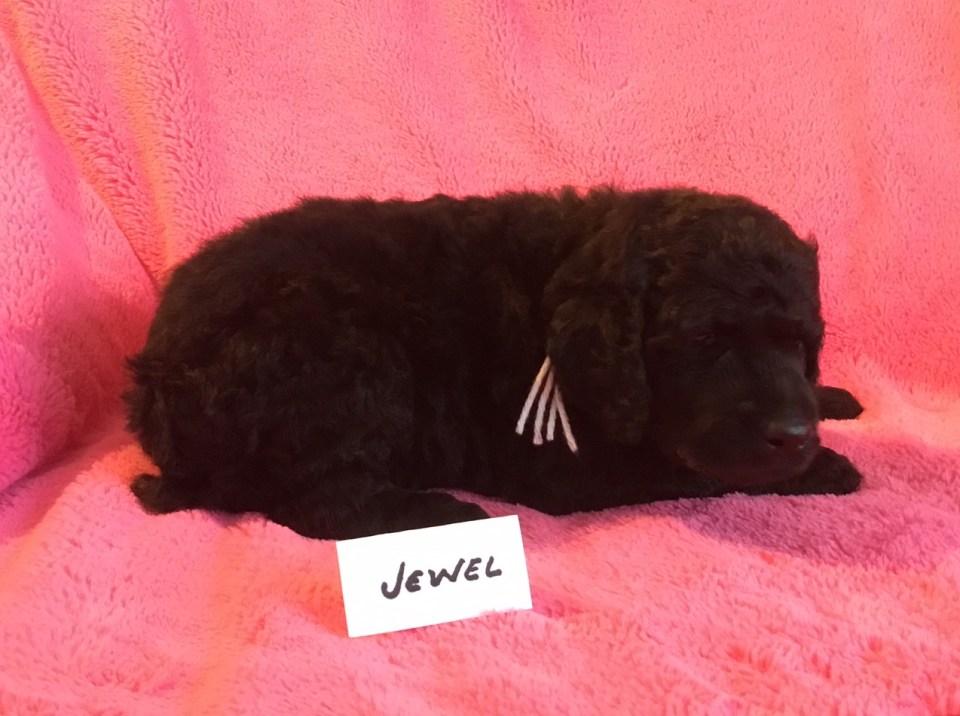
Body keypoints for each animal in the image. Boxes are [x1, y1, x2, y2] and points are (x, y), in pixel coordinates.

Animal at [124, 187, 864, 539]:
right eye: (705, 340)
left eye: (800, 340)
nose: (792, 435)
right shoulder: (569, 466)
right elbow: (693, 467)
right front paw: (828, 467)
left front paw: (833, 403)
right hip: (342, 355)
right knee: (324, 500)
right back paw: (442, 514)